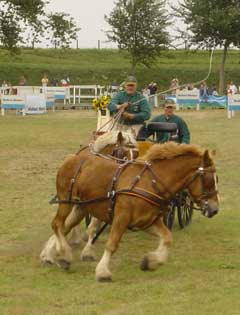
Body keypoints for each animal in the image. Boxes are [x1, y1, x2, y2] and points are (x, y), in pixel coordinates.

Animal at [40, 143, 219, 282]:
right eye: (210, 180)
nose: (215, 209)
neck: (150, 183)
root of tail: (72, 158)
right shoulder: (122, 218)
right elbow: (112, 244)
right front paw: (103, 272)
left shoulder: (147, 221)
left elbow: (167, 238)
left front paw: (151, 261)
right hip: (66, 201)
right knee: (57, 224)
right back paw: (64, 255)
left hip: (81, 208)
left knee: (64, 228)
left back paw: (50, 255)